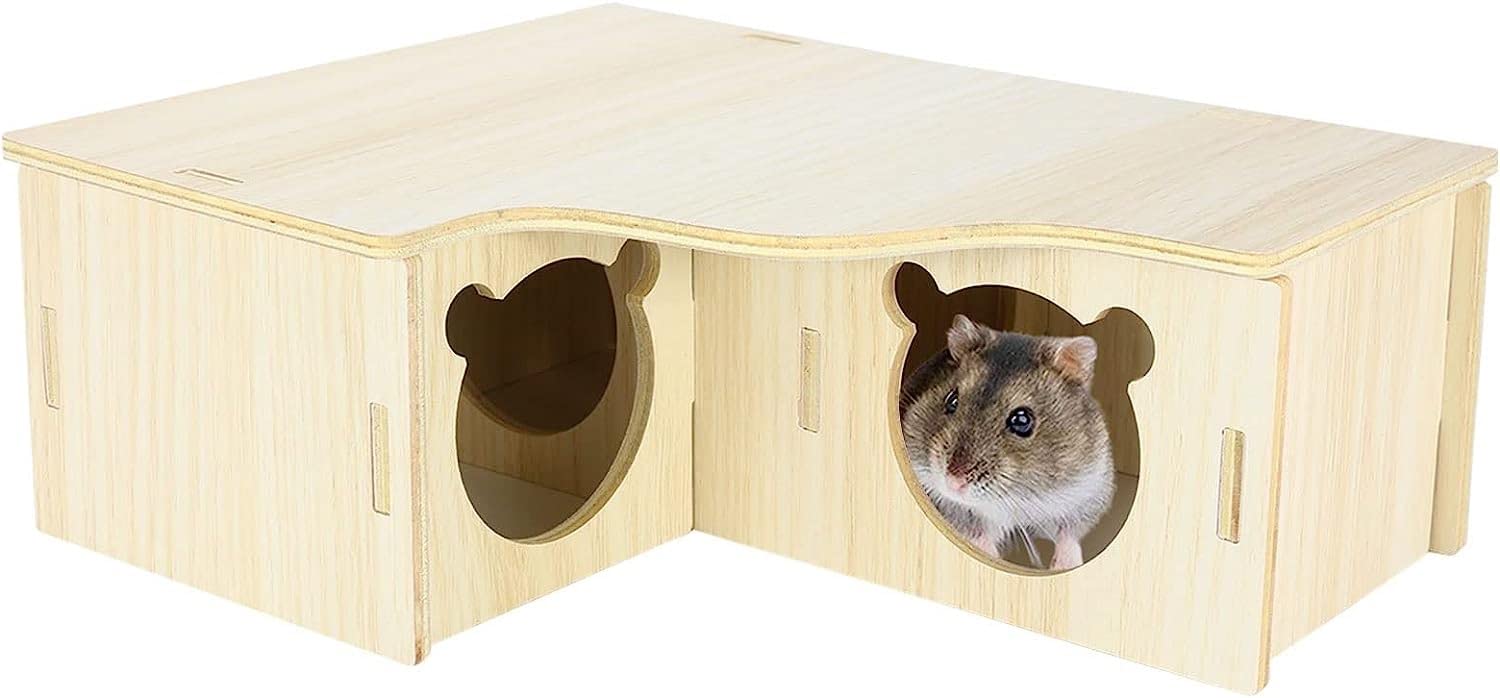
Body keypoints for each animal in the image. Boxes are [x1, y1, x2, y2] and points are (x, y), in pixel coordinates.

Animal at [899, 314, 1114, 570]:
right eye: (951, 400)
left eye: (1022, 420)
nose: (953, 482)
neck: (1015, 495)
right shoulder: (943, 501)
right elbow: (976, 531)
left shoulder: (1089, 490)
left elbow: (1068, 534)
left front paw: (1065, 565)